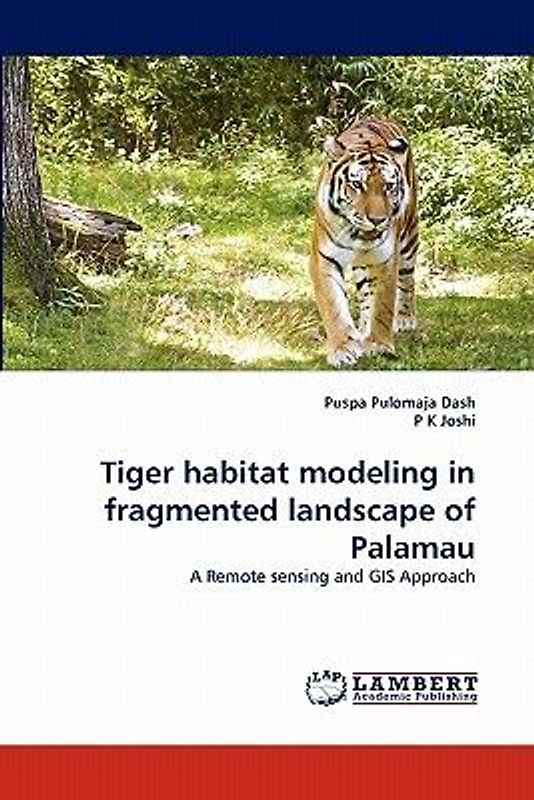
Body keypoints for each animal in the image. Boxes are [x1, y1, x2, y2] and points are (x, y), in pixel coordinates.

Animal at [310, 115, 419, 367]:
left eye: (389, 186)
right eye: (357, 185)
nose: (378, 220)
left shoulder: (385, 260)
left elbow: (382, 306)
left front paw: (378, 345)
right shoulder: (323, 260)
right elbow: (334, 306)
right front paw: (342, 348)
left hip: (409, 239)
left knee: (407, 281)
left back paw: (404, 319)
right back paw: (360, 330)